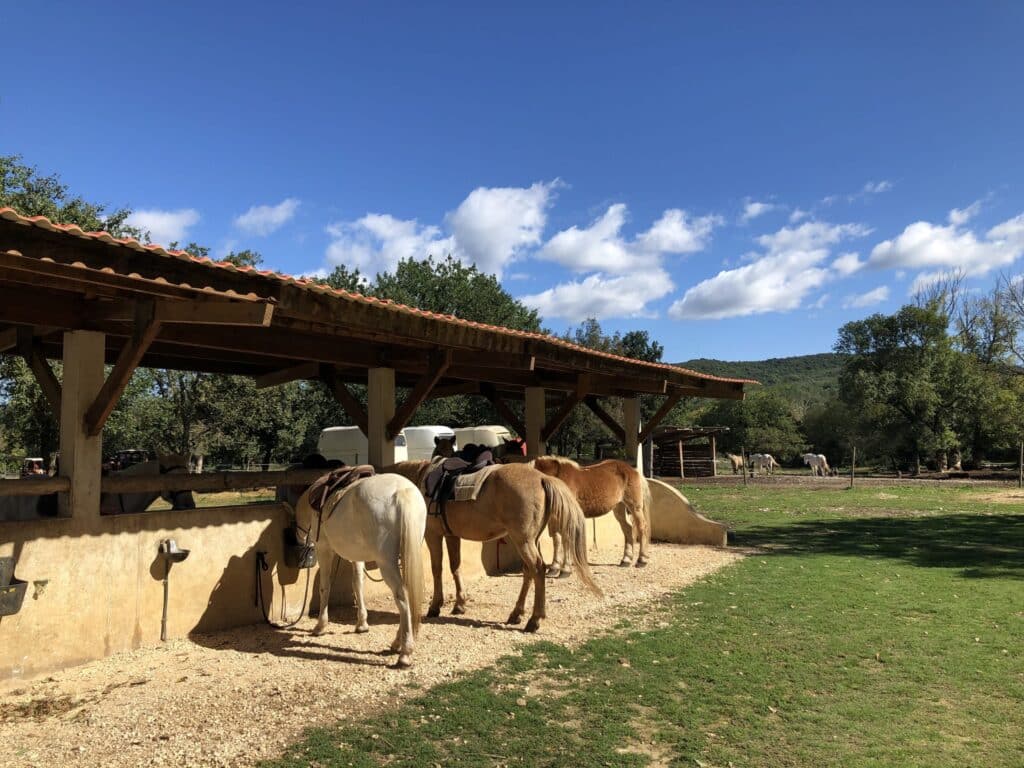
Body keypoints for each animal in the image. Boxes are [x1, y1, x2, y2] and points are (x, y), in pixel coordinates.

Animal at [293, 472, 427, 668]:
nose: (299, 542)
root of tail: (401, 491)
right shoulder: (356, 557)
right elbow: (358, 584)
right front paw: (362, 624)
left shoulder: (324, 550)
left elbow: (325, 587)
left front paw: (320, 626)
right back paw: (397, 644)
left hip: (386, 563)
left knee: (402, 597)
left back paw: (405, 653)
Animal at [388, 460, 601, 632]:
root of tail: (542, 478)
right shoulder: (451, 535)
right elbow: (455, 567)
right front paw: (460, 604)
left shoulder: (433, 535)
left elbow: (437, 569)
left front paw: (435, 606)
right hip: (530, 540)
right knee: (528, 571)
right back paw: (516, 614)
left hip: (522, 540)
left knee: (537, 569)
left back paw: (534, 620)